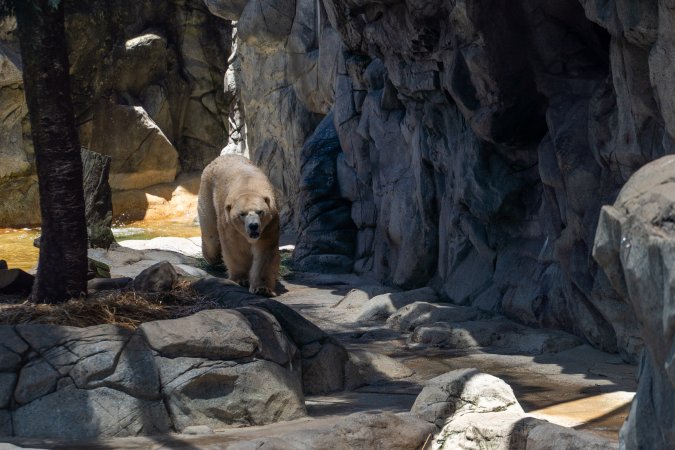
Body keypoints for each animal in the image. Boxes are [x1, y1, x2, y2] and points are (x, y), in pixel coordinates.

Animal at [198, 154, 280, 297]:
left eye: (260, 211)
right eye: (242, 214)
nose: (253, 226)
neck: (248, 187)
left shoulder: (269, 224)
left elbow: (265, 251)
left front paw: (263, 289)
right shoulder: (228, 223)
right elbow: (235, 248)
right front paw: (242, 280)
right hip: (207, 194)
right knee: (212, 239)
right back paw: (214, 259)